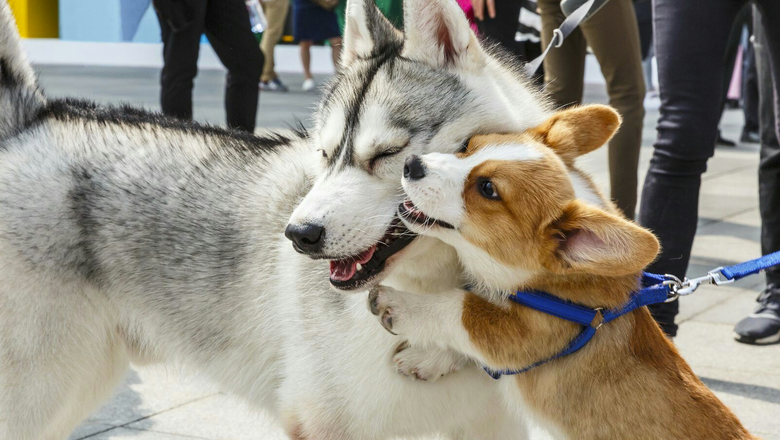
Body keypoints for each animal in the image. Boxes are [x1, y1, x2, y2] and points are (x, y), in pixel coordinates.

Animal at [0, 0, 548, 436]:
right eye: (324, 154)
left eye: (387, 154)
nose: (298, 235)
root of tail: (32, 121)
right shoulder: (324, 422)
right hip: (39, 392)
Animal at [368, 105, 760, 440]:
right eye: (468, 147)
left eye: (487, 189)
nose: (411, 164)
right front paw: (426, 359)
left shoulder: (522, 334)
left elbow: (461, 309)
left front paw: (396, 305)